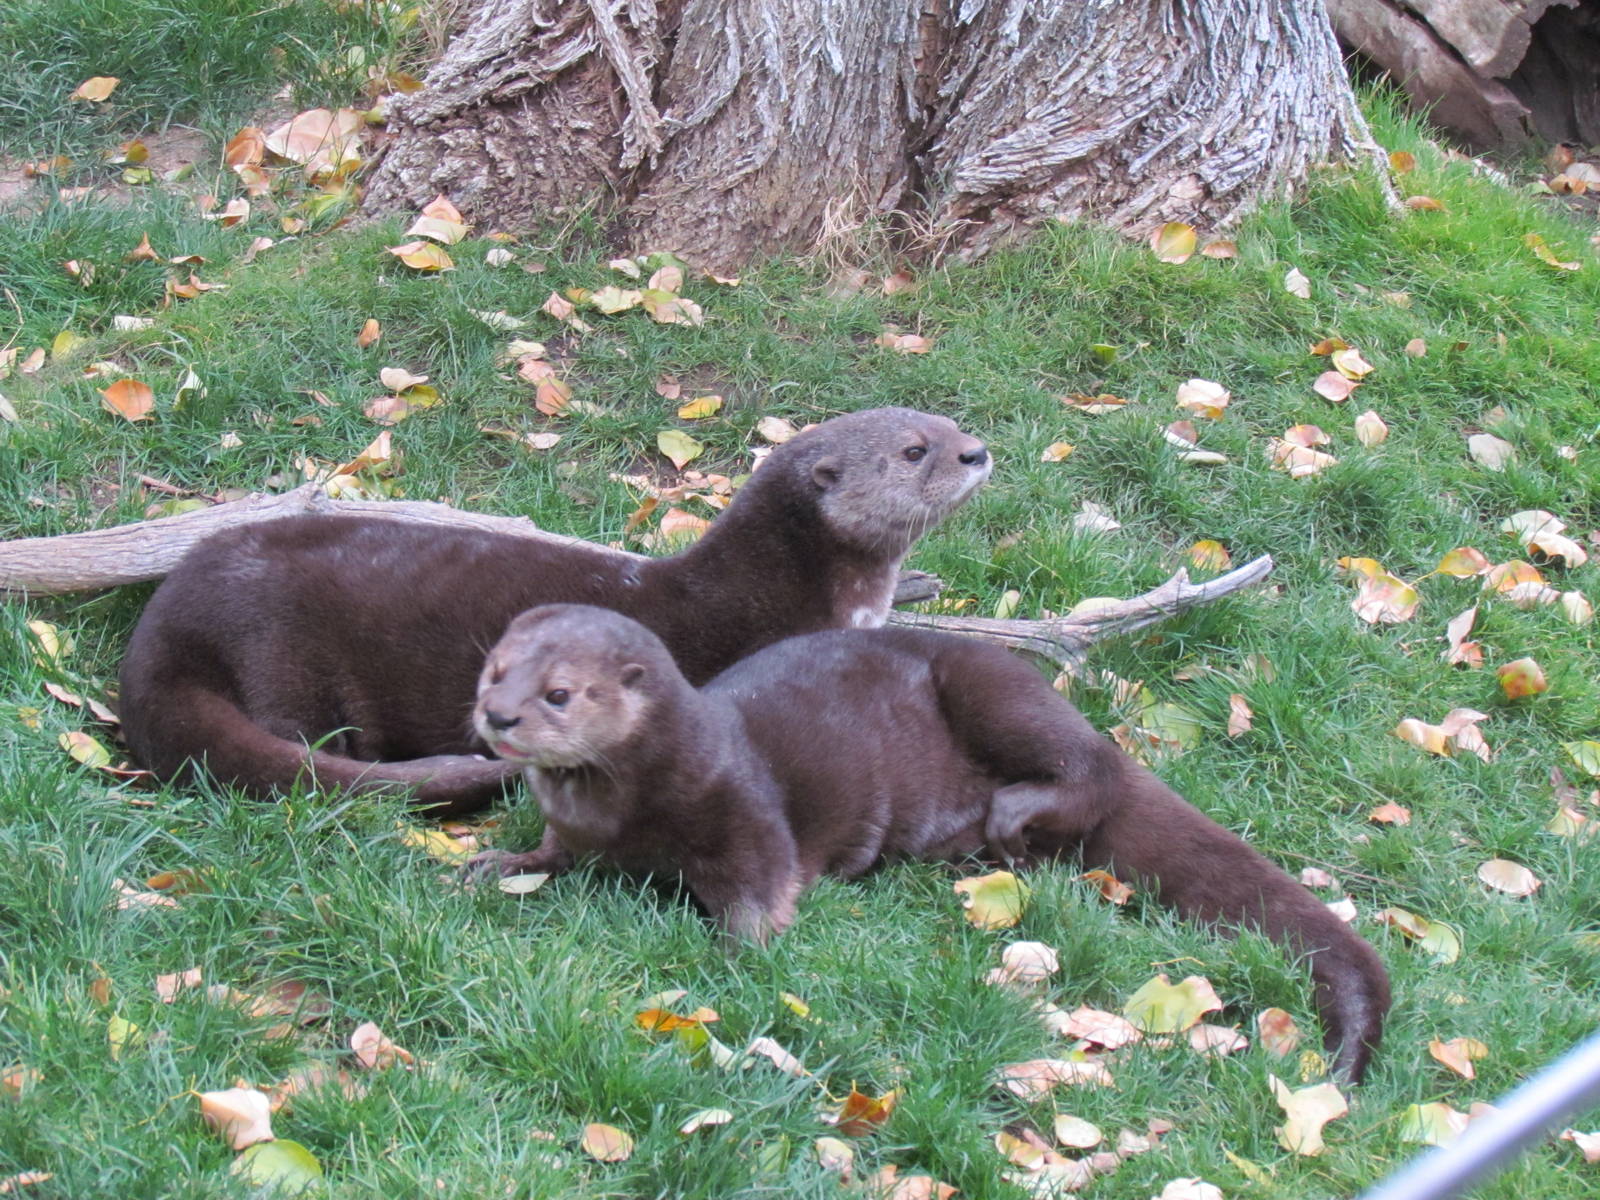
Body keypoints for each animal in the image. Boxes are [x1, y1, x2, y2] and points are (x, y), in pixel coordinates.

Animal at [468, 605, 1391, 1083]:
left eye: (559, 692)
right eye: (495, 670)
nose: (498, 716)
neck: (635, 806)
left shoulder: (747, 817)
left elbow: (760, 892)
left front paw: (726, 962)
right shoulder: (577, 829)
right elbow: (553, 854)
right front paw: (500, 862)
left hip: (994, 688)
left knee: (1090, 763)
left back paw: (1018, 810)